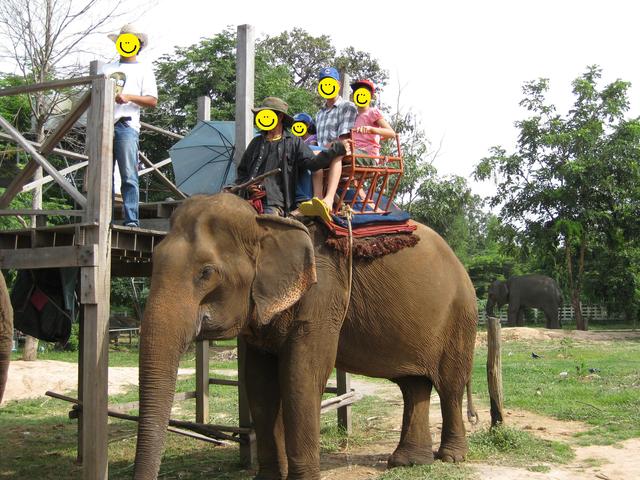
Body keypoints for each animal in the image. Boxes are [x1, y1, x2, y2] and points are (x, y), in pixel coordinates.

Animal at [133, 193, 478, 480]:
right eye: (152, 261)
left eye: (206, 273)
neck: (266, 222)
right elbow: (258, 382)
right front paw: (269, 479)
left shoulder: (322, 293)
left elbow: (301, 373)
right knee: (413, 385)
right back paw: (408, 462)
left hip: (460, 316)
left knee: (449, 384)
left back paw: (451, 457)